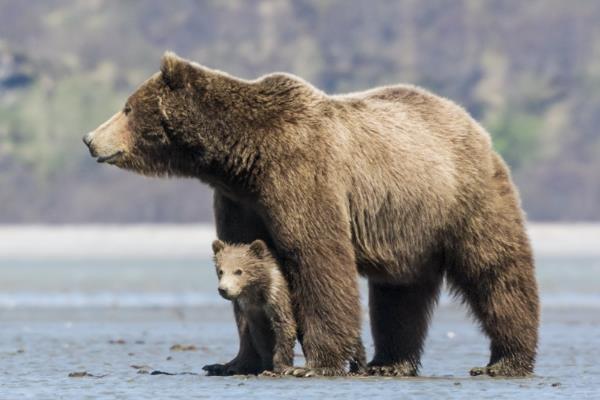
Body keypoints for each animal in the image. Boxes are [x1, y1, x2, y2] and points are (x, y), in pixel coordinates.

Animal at [83, 51, 540, 376]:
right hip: (406, 225)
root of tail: (471, 122)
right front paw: (232, 362)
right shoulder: (239, 199)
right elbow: (243, 257)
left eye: (127, 107)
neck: (242, 158)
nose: (89, 138)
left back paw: (505, 360)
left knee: (495, 270)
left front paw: (313, 364)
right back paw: (389, 363)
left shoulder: (301, 174)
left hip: (462, 197)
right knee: (399, 291)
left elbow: (317, 258)